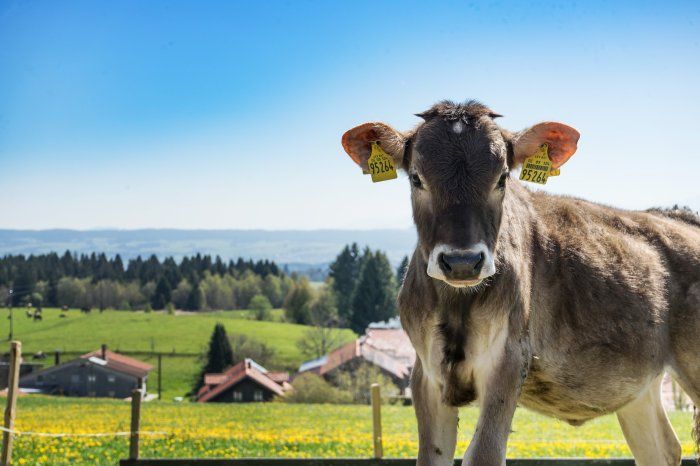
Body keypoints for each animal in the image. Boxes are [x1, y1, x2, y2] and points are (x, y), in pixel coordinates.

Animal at [340, 102, 700, 466]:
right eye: (416, 178)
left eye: (502, 178)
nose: (462, 261)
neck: (456, 303)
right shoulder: (426, 373)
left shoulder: (508, 359)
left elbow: (484, 453)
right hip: (638, 387)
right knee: (662, 448)